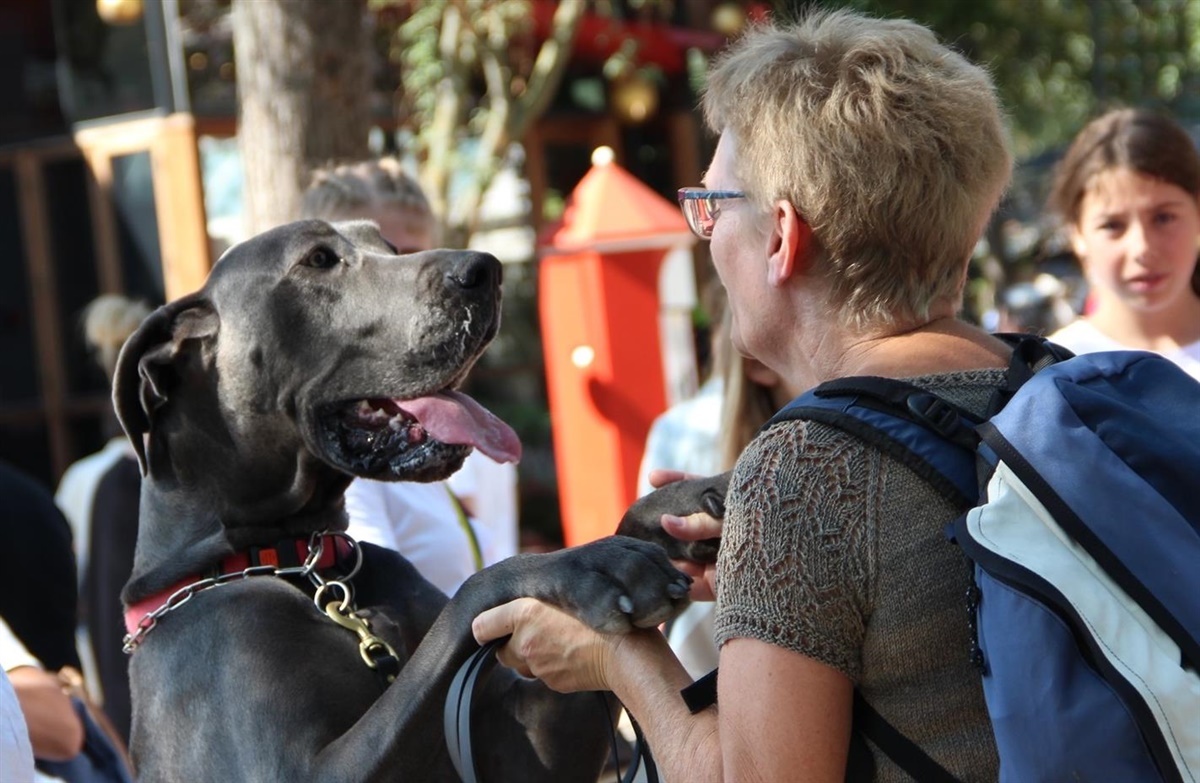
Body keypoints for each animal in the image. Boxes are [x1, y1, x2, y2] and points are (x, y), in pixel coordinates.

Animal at [114, 219, 696, 783]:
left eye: (389, 246)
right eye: (318, 259)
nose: (485, 270)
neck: (298, 563)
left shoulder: (527, 752)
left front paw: (679, 507)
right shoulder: (299, 769)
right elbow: (474, 590)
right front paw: (591, 564)